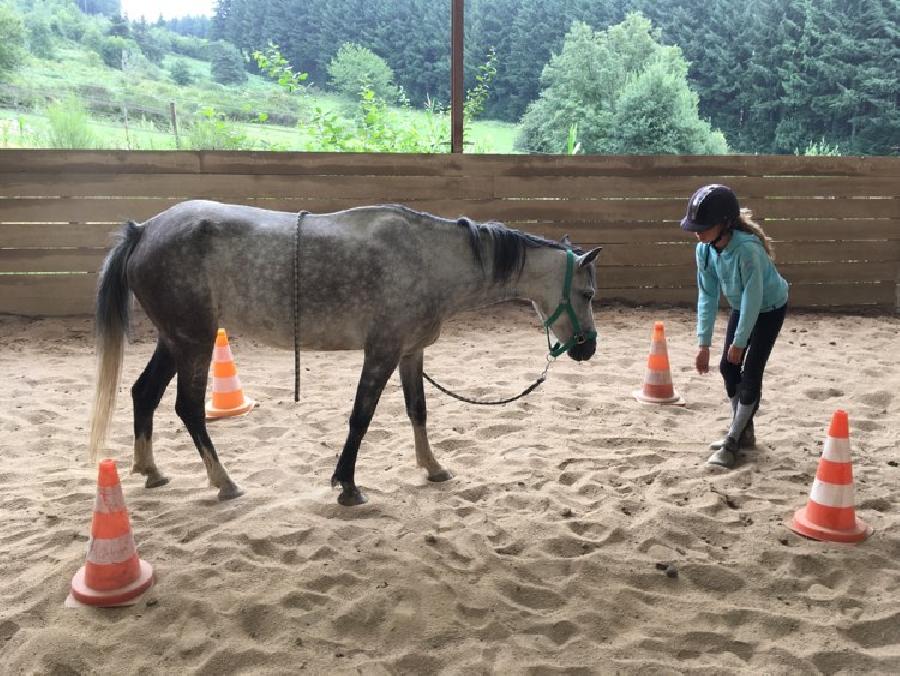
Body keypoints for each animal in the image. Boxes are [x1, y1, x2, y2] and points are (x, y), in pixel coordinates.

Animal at [88, 201, 600, 508]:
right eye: (588, 293)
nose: (589, 347)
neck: (428, 258)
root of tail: (143, 230)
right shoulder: (382, 351)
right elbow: (361, 416)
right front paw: (348, 485)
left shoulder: (410, 352)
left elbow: (418, 411)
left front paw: (433, 468)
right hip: (193, 341)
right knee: (188, 408)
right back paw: (224, 482)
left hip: (174, 341)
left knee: (144, 394)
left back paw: (151, 471)